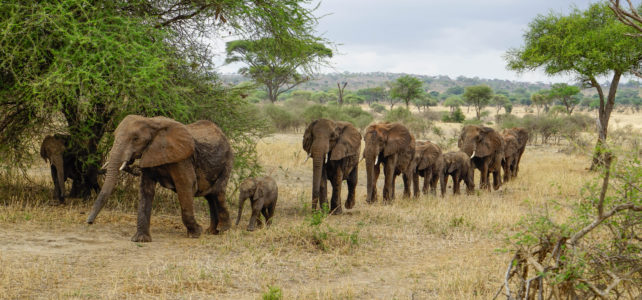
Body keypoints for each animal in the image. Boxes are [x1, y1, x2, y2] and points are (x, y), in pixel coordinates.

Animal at [86, 113, 232, 243]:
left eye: (135, 139)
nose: (89, 222)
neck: (152, 122)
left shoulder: (182, 159)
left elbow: (186, 185)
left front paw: (196, 233)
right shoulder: (149, 154)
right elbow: (146, 190)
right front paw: (141, 240)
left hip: (227, 161)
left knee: (218, 192)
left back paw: (223, 230)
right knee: (210, 196)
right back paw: (211, 231)